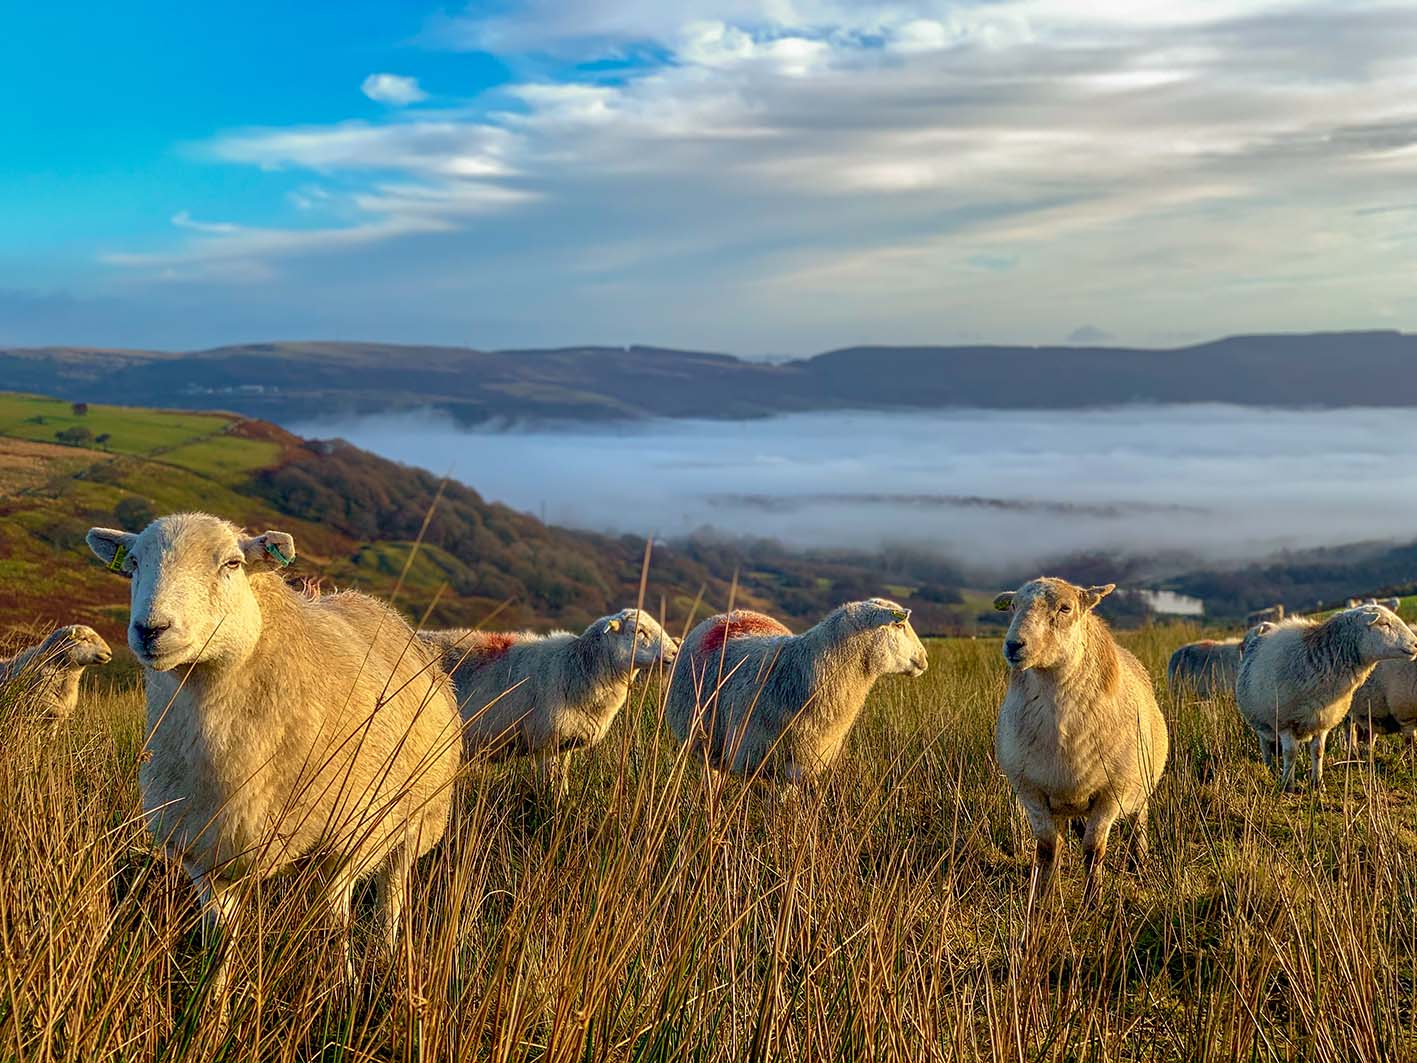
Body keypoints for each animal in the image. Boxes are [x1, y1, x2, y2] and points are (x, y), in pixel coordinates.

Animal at [85, 513, 461, 1003]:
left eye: (232, 563)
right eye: (132, 562)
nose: (151, 630)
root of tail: (374, 605)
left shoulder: (346, 839)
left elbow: (334, 925)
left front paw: (342, 992)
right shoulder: (208, 849)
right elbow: (219, 942)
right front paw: (210, 1009)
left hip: (416, 817)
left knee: (388, 897)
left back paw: (384, 957)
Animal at [416, 606, 677, 799]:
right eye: (639, 631)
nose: (675, 652)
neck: (576, 666)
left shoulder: (566, 742)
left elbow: (562, 781)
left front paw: (564, 801)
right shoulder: (546, 742)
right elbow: (549, 784)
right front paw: (551, 807)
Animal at [663, 600, 929, 793]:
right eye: (900, 626)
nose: (925, 658)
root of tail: (732, 613)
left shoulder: (801, 762)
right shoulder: (755, 755)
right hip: (703, 740)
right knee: (712, 773)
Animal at [991, 578, 1167, 901]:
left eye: (1065, 608)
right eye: (1013, 606)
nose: (1013, 645)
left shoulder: (1113, 792)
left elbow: (1093, 848)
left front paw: (1092, 900)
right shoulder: (1030, 790)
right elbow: (1048, 847)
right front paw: (1044, 897)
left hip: (1140, 787)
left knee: (1138, 824)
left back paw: (1140, 863)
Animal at [1229, 606, 1417, 793]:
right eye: (1385, 624)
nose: (1415, 643)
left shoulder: (1322, 721)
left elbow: (1318, 751)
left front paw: (1318, 784)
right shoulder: (1285, 722)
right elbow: (1290, 754)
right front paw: (1287, 786)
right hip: (1261, 720)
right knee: (1265, 745)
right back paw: (1269, 767)